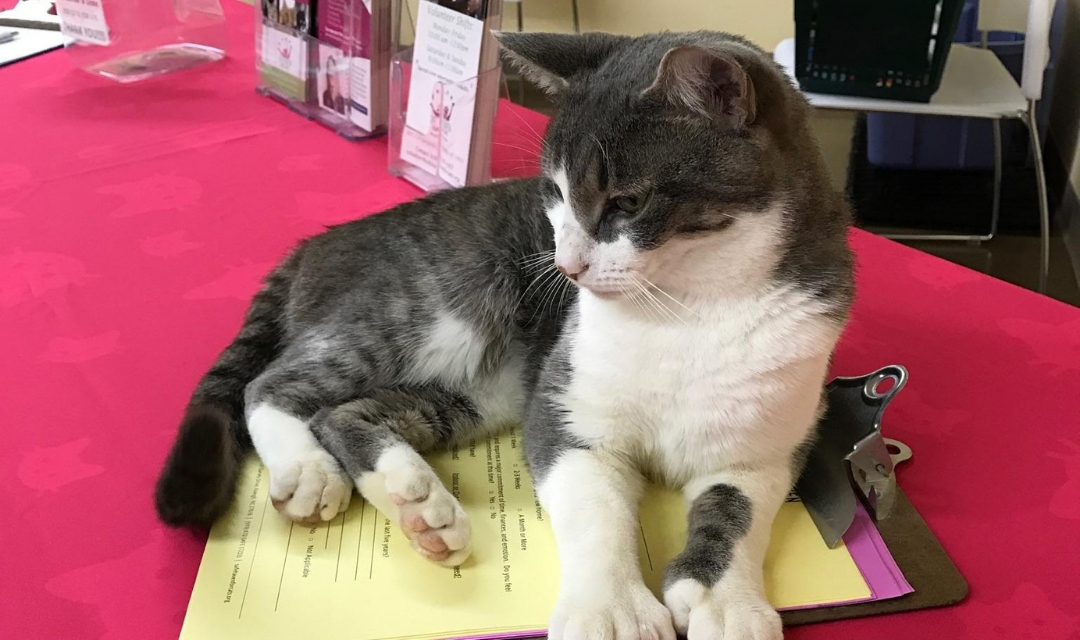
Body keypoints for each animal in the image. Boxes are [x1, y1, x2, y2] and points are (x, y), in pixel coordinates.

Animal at [156, 28, 855, 638]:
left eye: (627, 202)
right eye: (555, 191)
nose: (567, 266)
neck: (688, 309)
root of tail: (315, 242)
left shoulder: (766, 443)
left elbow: (740, 512)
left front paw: (723, 601)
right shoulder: (566, 409)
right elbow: (597, 512)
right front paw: (613, 609)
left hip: (485, 390)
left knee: (346, 411)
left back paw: (416, 502)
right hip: (433, 305)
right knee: (274, 383)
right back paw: (309, 470)